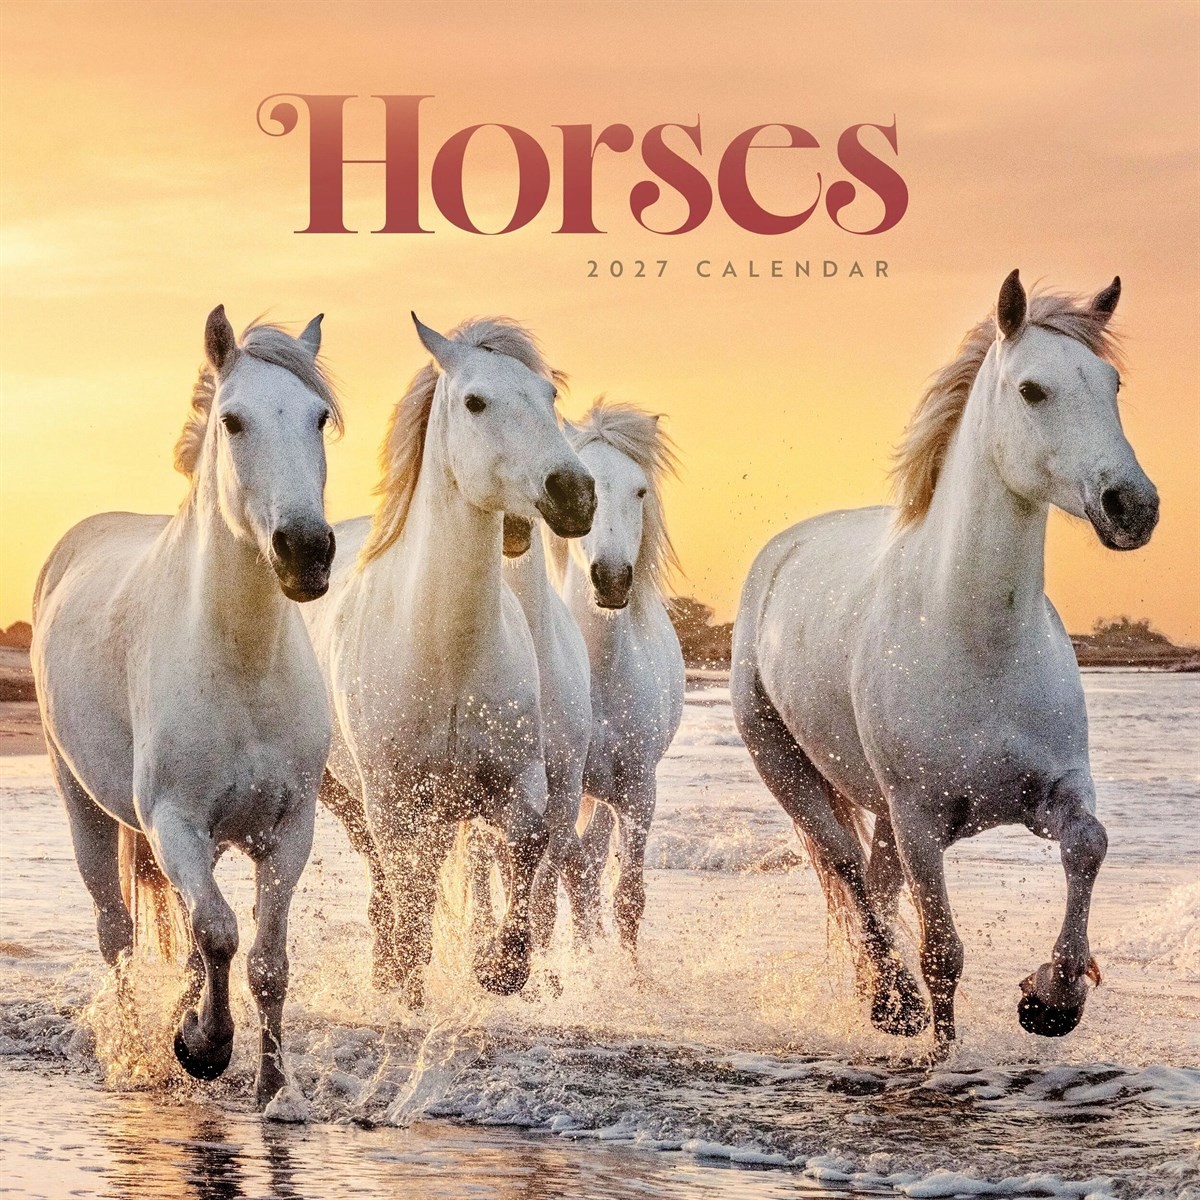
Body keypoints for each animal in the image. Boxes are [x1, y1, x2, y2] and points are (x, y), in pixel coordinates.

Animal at [32, 306, 340, 1106]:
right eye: (233, 421)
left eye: (319, 418)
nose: (306, 550)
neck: (240, 663)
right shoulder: (173, 821)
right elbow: (222, 934)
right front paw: (203, 1047)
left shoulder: (288, 830)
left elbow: (264, 960)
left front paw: (274, 1091)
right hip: (84, 805)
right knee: (117, 933)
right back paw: (136, 1052)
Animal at [303, 315, 595, 1006]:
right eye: (475, 402)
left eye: (549, 396)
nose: (574, 493)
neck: (447, 653)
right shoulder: (393, 799)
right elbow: (409, 889)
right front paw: (409, 982)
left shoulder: (520, 783)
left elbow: (527, 848)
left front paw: (499, 967)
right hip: (348, 798)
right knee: (389, 883)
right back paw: (389, 975)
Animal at [731, 271, 1158, 1053]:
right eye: (1032, 390)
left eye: (1111, 382)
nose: (1132, 507)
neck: (978, 641)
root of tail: (781, 553)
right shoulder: (922, 820)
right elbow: (943, 954)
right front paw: (943, 1049)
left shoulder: (1054, 792)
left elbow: (1089, 845)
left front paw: (1052, 999)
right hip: (791, 770)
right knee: (848, 870)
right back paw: (891, 1001)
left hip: (883, 812)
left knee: (874, 882)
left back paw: (879, 997)